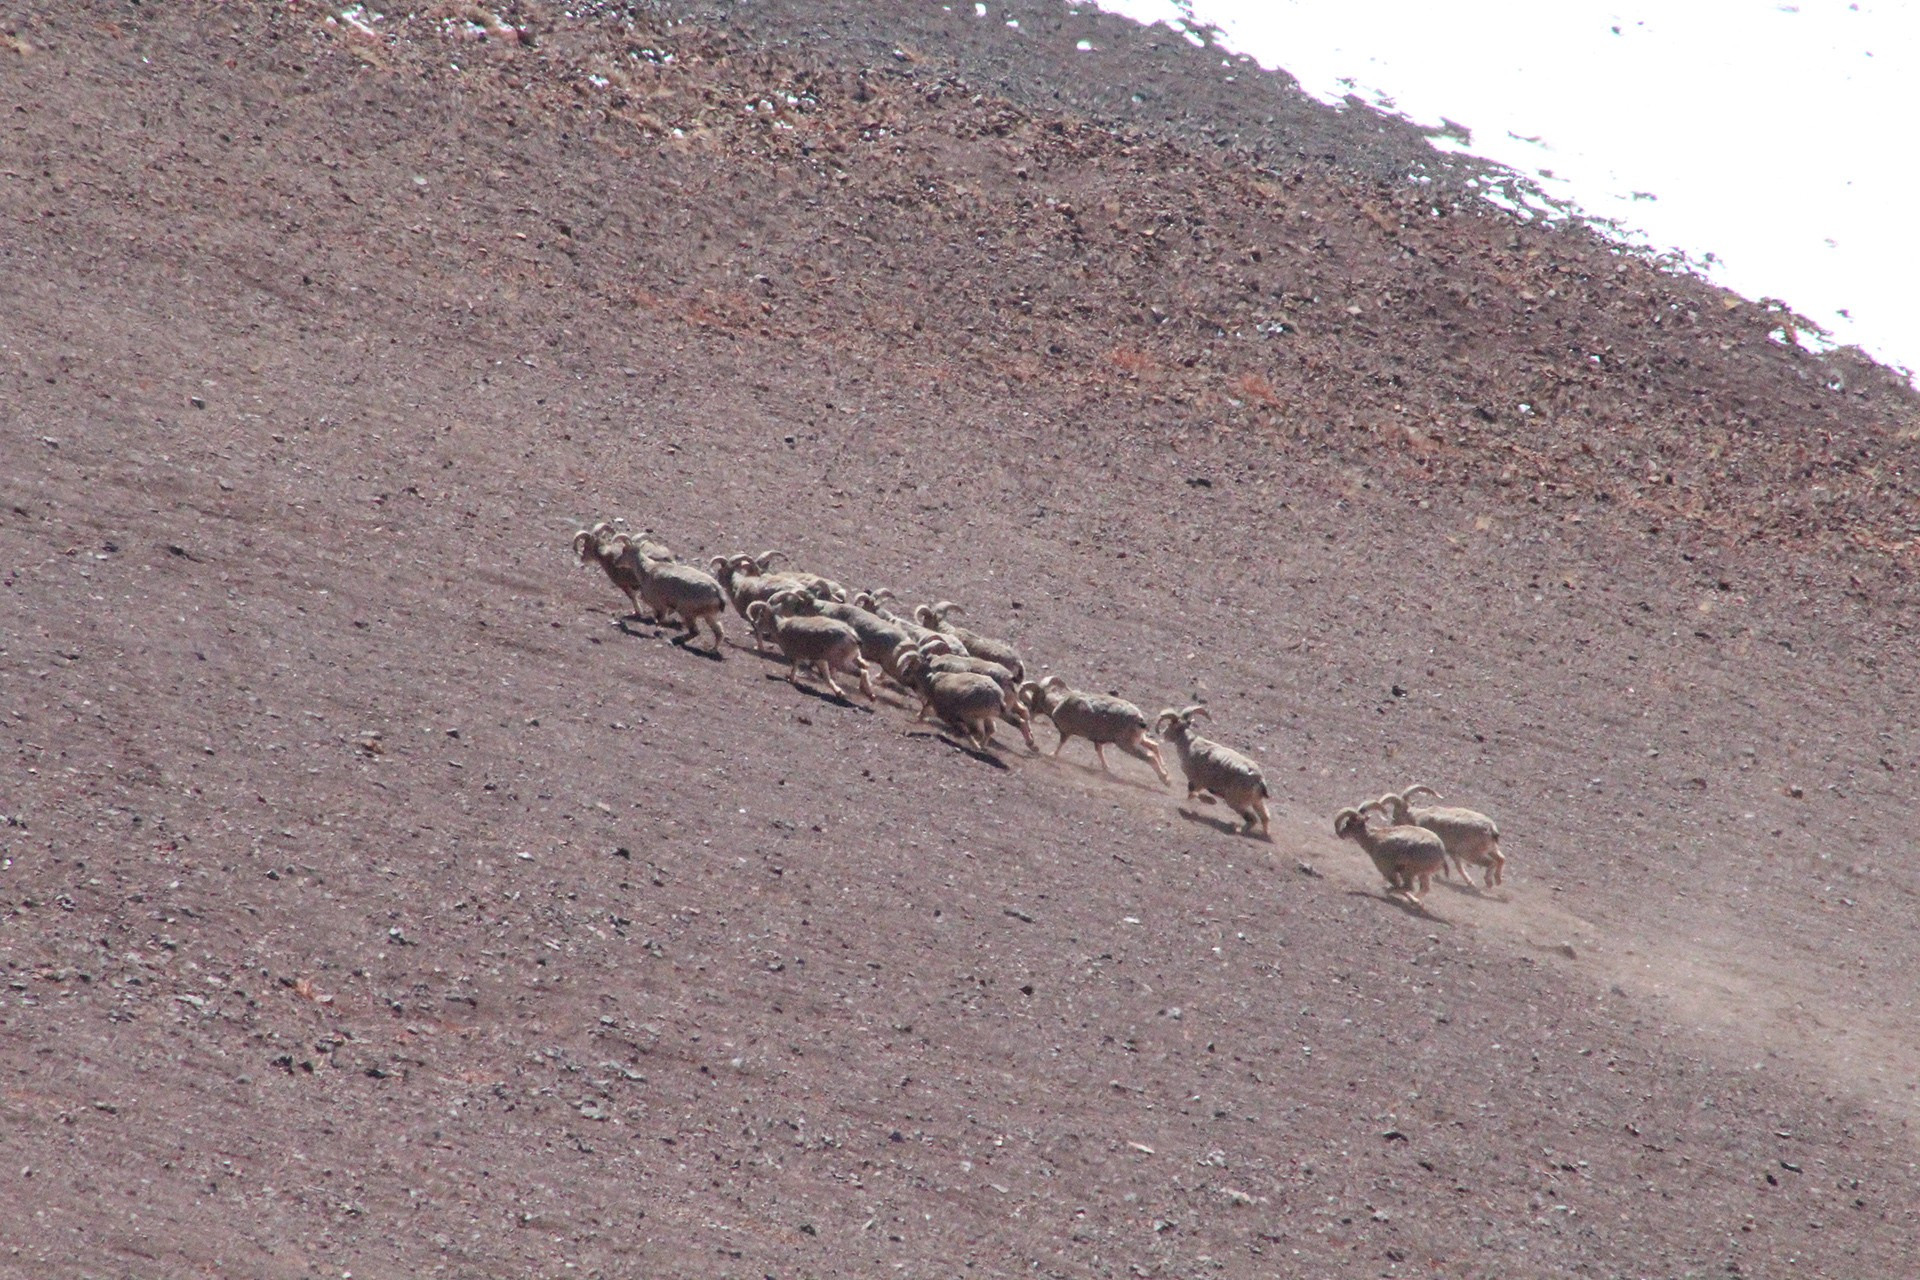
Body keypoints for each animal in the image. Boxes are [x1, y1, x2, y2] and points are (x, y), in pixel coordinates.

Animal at [745, 599, 875, 700]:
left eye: (761, 615)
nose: (755, 624)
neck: (780, 627)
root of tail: (852, 636)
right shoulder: (820, 660)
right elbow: (827, 679)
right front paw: (840, 693)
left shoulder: (797, 657)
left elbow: (794, 669)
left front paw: (791, 679)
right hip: (849, 659)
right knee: (864, 667)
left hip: (839, 662)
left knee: (862, 672)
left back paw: (869, 694)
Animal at [1020, 676, 1170, 785]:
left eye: (1036, 698)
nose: (1031, 713)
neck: (1057, 705)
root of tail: (1138, 718)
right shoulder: (1097, 741)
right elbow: (1100, 752)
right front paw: (1105, 768)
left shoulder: (1066, 733)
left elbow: (1061, 744)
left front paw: (1052, 755)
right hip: (1139, 739)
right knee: (1154, 746)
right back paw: (1166, 771)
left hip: (1127, 745)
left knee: (1150, 756)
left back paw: (1166, 780)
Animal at [1153, 705, 1270, 836]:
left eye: (1171, 725)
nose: (1163, 733)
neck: (1189, 745)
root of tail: (1259, 780)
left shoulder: (1196, 782)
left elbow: (1192, 794)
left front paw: (1210, 801)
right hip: (1256, 801)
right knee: (1265, 817)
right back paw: (1264, 833)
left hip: (1235, 801)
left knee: (1252, 819)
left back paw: (1239, 830)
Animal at [1363, 786, 1505, 888]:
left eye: (1395, 814)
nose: (1393, 824)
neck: (1417, 817)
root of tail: (1491, 829)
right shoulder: (1453, 852)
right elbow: (1459, 867)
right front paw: (1470, 882)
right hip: (1491, 849)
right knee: (1501, 859)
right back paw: (1498, 880)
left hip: (1471, 853)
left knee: (1491, 862)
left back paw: (1489, 882)